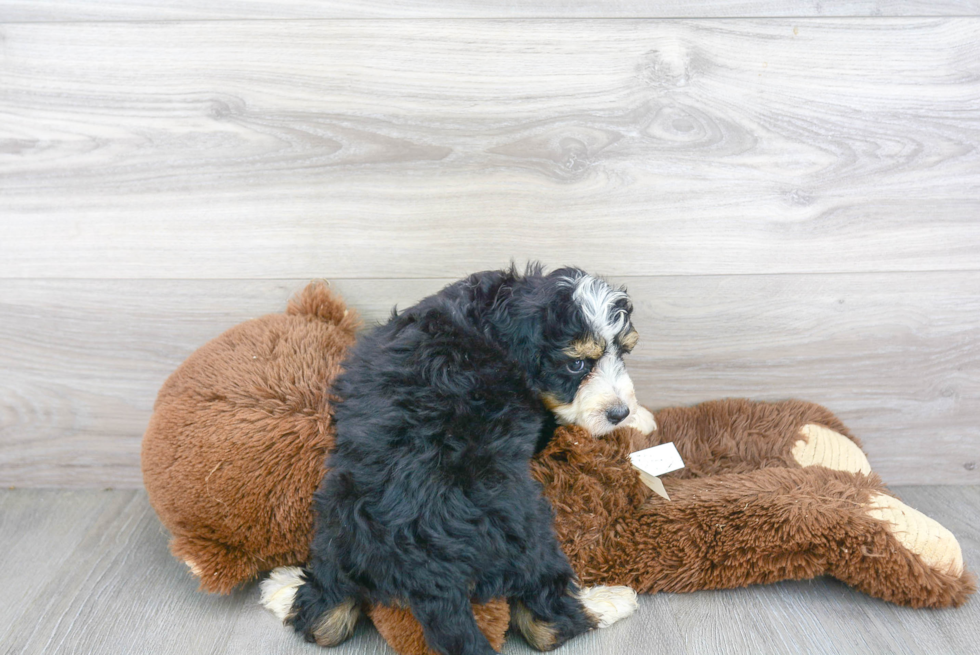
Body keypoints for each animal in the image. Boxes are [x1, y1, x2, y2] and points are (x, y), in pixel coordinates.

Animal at [264, 266, 656, 655]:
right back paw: (608, 600)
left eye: (624, 353)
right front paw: (640, 417)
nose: (618, 412)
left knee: (323, 618)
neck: (491, 317)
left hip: (337, 523)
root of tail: (427, 569)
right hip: (530, 530)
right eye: (576, 364)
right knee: (548, 621)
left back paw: (282, 587)